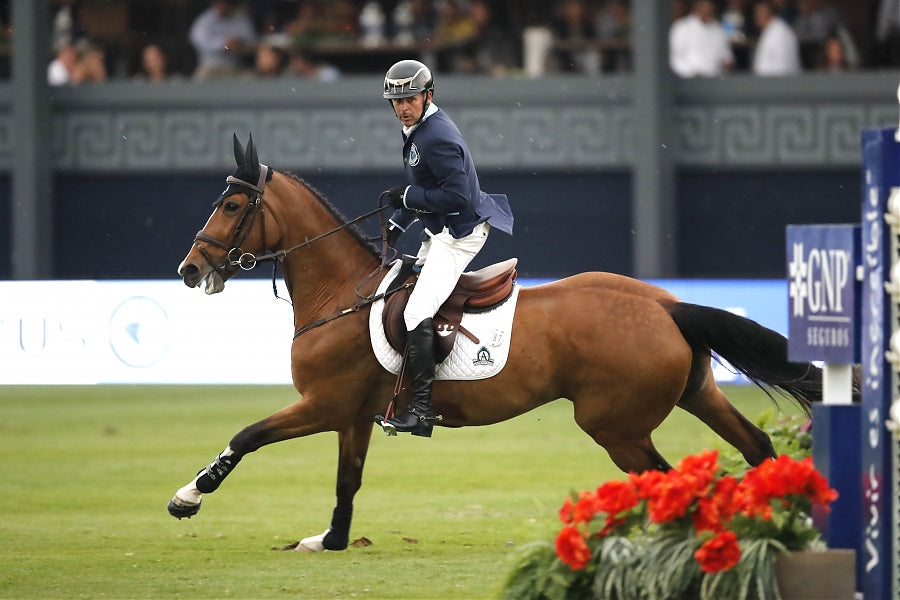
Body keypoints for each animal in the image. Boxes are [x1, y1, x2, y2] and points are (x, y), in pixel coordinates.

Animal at [165, 136, 820, 552]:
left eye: (231, 204)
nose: (189, 270)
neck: (341, 294)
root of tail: (665, 305)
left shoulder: (322, 406)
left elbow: (245, 436)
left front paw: (188, 497)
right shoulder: (351, 416)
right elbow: (346, 481)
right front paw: (332, 539)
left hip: (617, 427)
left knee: (671, 484)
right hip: (696, 394)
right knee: (757, 448)